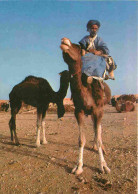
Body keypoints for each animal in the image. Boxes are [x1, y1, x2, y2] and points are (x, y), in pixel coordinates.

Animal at [59, 37, 110, 174]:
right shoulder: (79, 111)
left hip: (100, 109)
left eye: (77, 47)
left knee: (99, 130)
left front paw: (103, 166)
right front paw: (78, 167)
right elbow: (81, 140)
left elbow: (98, 136)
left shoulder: (98, 110)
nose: (64, 40)